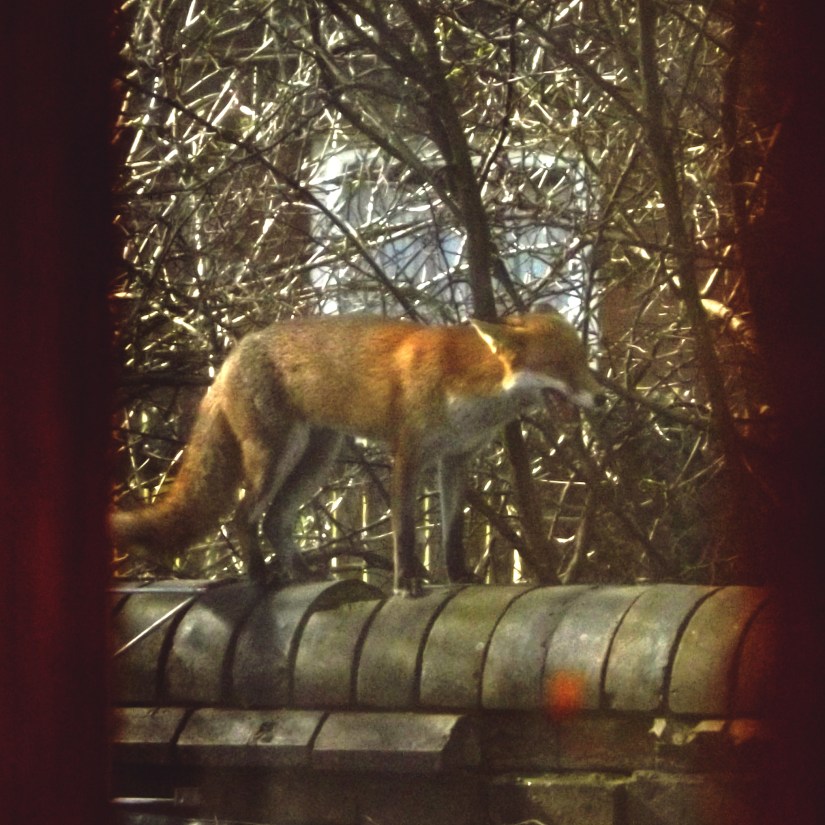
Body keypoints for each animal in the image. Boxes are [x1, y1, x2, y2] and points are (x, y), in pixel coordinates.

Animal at [111, 309, 604, 596]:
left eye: (583, 361)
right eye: (562, 366)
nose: (601, 399)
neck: (470, 386)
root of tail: (235, 352)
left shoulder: (455, 460)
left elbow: (451, 534)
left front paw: (459, 577)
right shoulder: (408, 454)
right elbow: (405, 532)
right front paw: (406, 583)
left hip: (316, 461)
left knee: (275, 520)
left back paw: (303, 576)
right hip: (275, 457)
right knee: (244, 516)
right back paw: (260, 576)